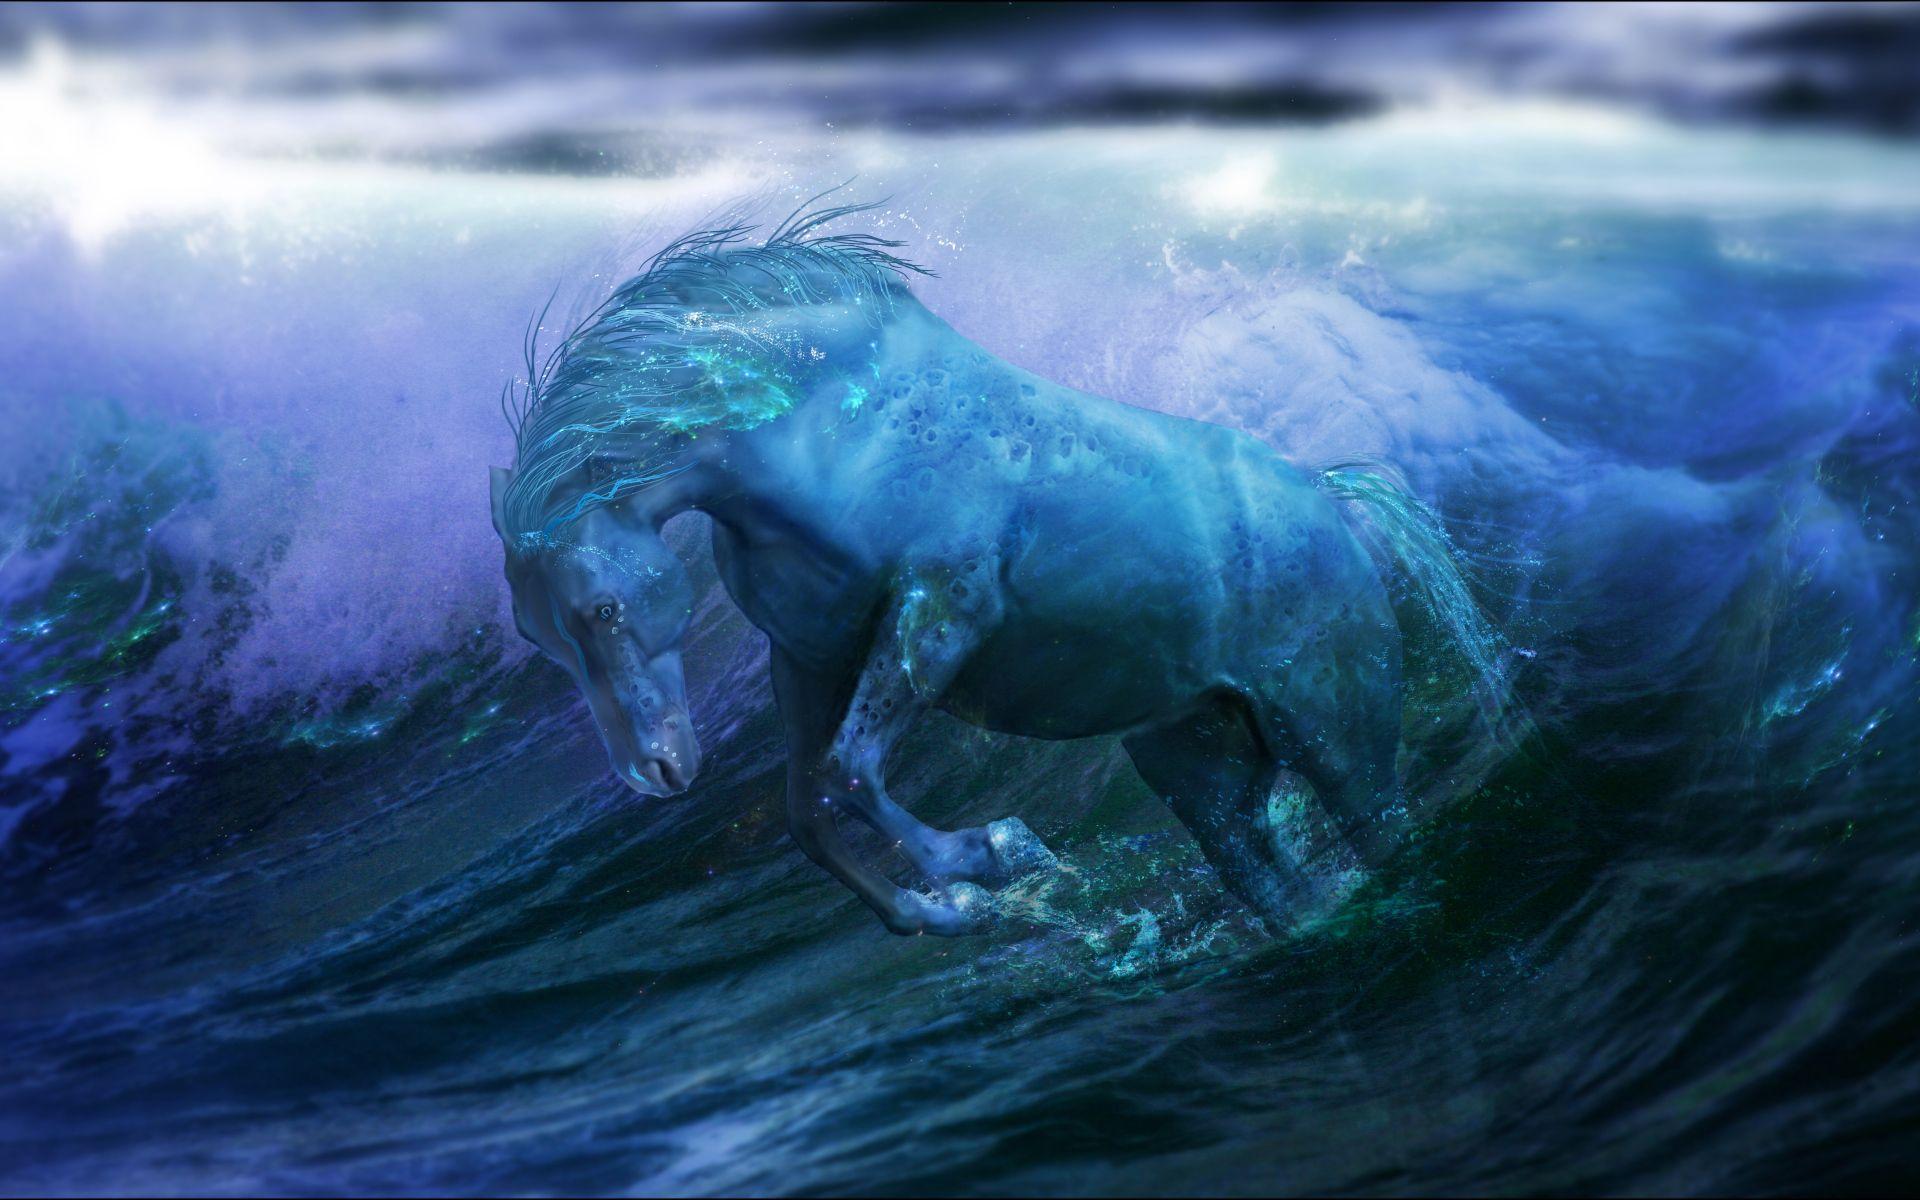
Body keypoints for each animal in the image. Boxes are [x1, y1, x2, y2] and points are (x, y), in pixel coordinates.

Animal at [489, 202, 1492, 937]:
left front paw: (994, 855)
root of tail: (1332, 498)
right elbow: (807, 811)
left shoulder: (942, 612)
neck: (830, 437)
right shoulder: (808, 658)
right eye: (541, 640)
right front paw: (948, 908)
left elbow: (846, 774)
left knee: (1378, 825)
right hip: (1197, 763)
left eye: (604, 610)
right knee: (1270, 877)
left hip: (1335, 736)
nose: (656, 773)